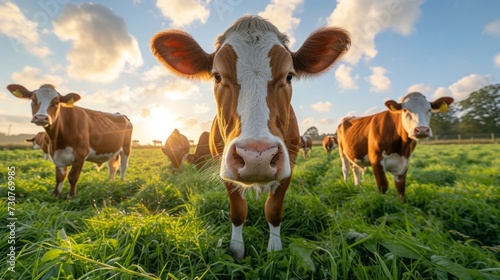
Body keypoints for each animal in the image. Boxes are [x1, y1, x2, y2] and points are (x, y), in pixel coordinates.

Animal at [150, 14, 350, 260]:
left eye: (289, 76)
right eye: (217, 76)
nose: (258, 157)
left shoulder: (289, 165)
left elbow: (273, 210)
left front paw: (274, 249)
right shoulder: (225, 171)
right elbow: (238, 211)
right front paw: (237, 250)